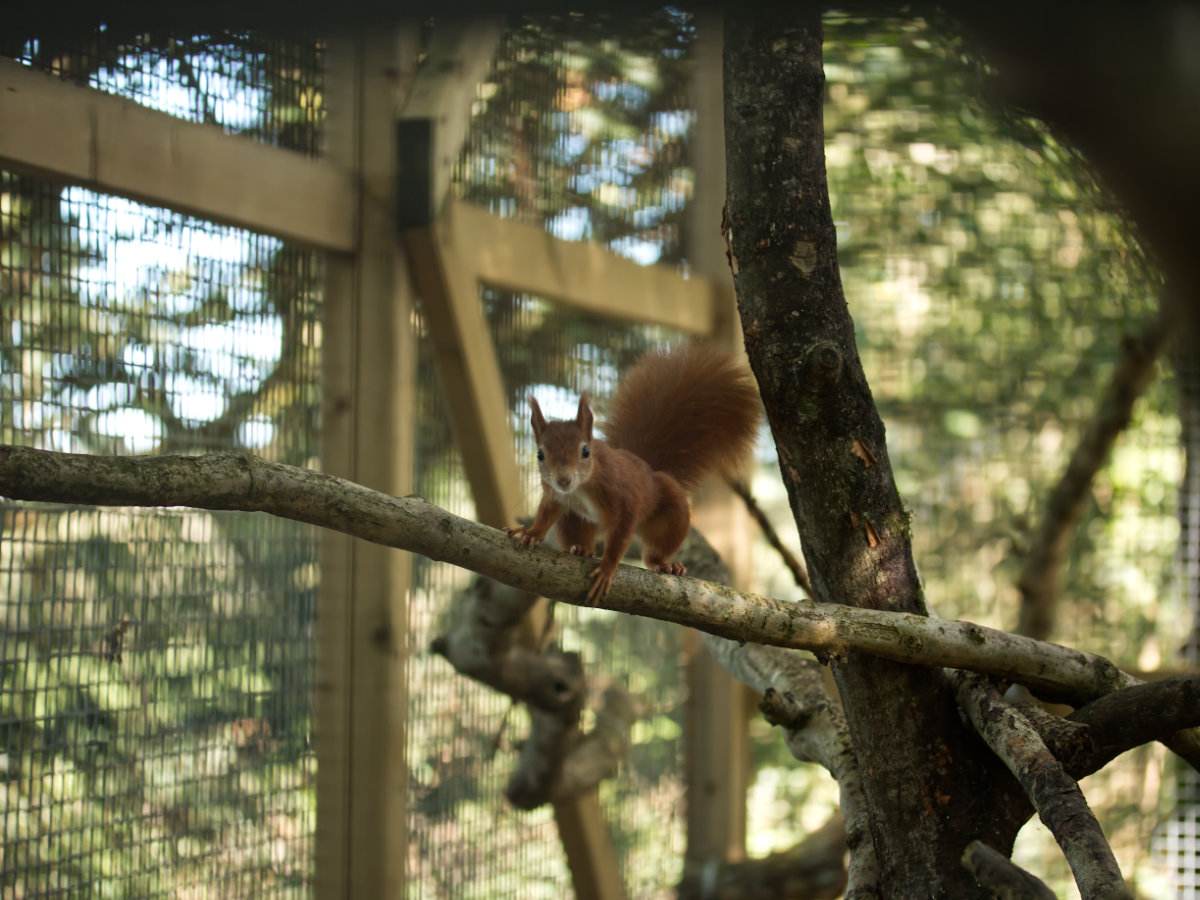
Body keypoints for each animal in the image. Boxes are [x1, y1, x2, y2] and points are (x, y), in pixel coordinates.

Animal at [506, 345, 758, 607]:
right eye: (540, 454)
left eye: (585, 451)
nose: (563, 480)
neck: (581, 488)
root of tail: (646, 467)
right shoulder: (556, 496)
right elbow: (546, 514)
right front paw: (531, 533)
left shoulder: (624, 498)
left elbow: (620, 537)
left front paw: (607, 568)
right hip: (572, 521)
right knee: (580, 537)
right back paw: (580, 549)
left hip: (671, 517)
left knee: (654, 553)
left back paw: (667, 566)